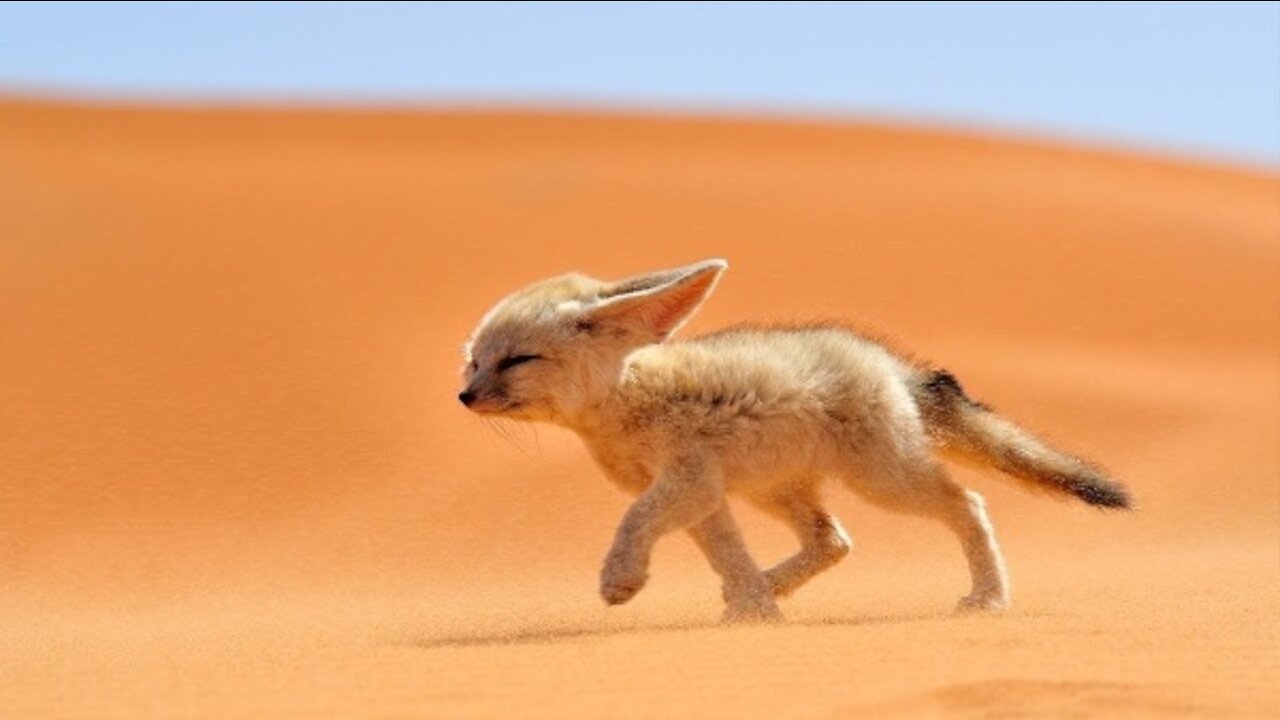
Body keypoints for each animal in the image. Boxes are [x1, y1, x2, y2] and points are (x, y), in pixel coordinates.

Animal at [460, 260, 1131, 620]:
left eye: (517, 360)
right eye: (474, 362)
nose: (464, 397)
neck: (627, 398)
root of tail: (891, 364)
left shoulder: (686, 481)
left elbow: (633, 522)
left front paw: (621, 579)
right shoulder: (704, 494)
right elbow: (726, 554)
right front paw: (755, 610)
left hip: (884, 481)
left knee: (967, 503)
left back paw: (989, 597)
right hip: (775, 490)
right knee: (833, 540)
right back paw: (769, 586)